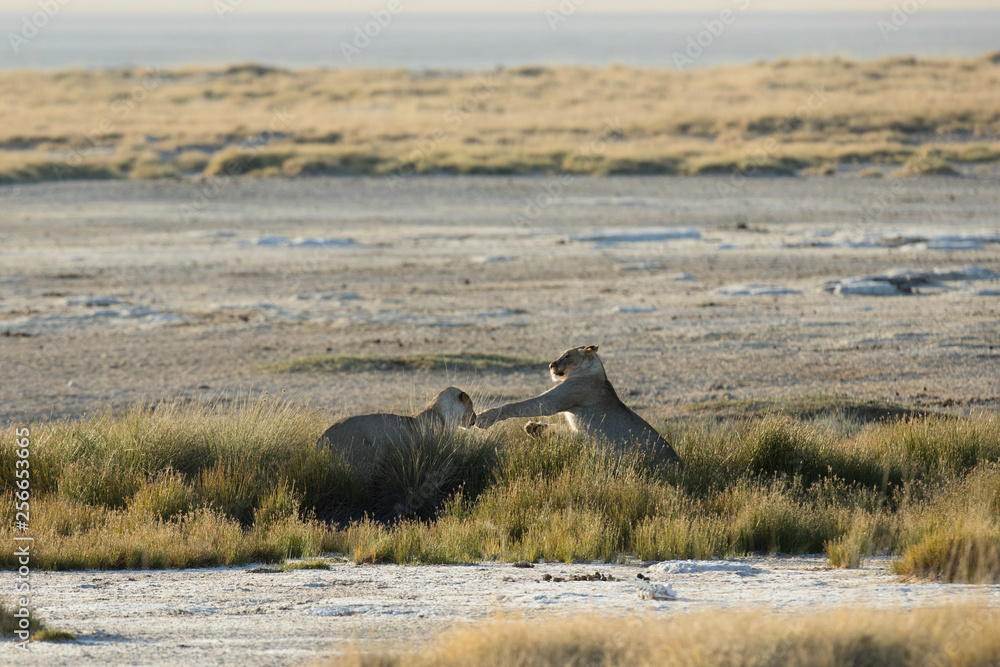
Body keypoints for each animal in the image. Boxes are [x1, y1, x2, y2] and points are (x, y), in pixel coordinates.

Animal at [475, 345, 682, 466]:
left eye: (566, 356)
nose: (550, 365)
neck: (594, 371)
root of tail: (681, 465)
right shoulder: (579, 432)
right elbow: (561, 430)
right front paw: (533, 427)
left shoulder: (556, 400)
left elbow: (518, 405)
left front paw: (484, 417)